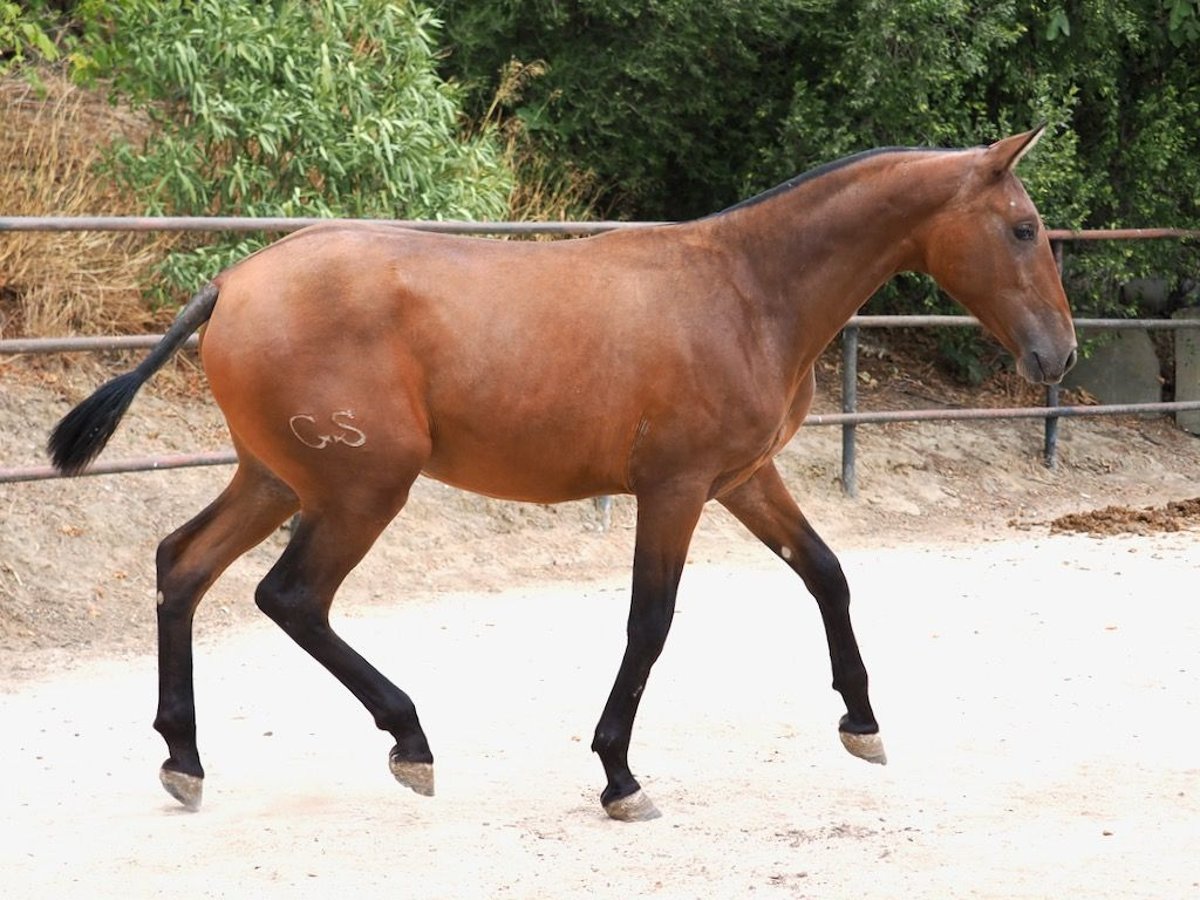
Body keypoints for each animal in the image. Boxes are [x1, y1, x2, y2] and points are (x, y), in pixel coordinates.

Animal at [49, 126, 1077, 821]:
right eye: (1023, 229)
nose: (1058, 357)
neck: (745, 290)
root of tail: (235, 281)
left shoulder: (745, 479)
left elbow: (827, 574)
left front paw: (862, 723)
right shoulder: (675, 490)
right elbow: (650, 623)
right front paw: (620, 775)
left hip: (275, 480)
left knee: (182, 565)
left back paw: (185, 761)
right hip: (360, 491)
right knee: (290, 597)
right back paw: (410, 741)